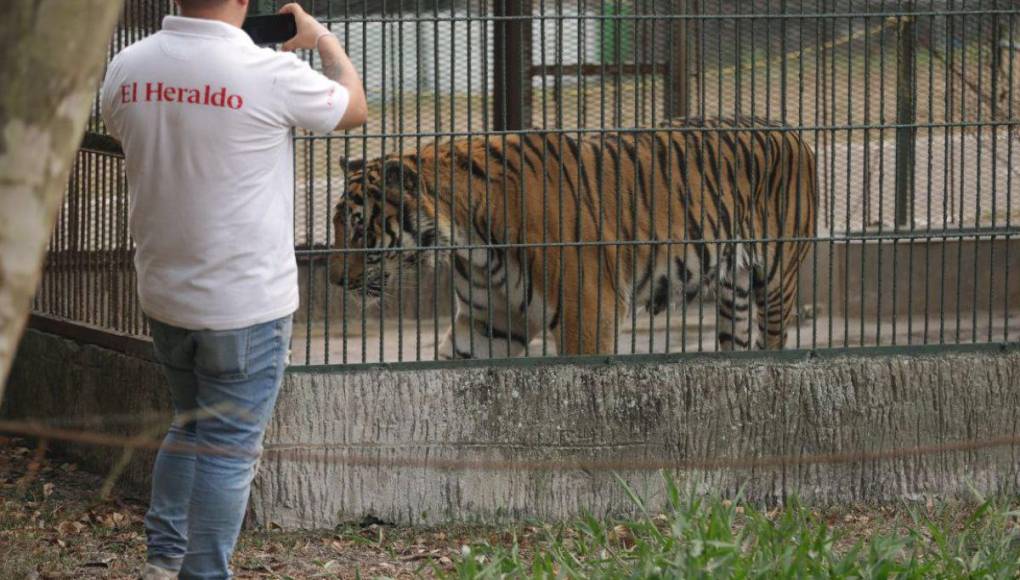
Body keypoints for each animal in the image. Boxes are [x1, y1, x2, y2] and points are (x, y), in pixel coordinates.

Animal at [330, 118, 816, 356]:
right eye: (335, 227)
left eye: (360, 228)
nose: (334, 281)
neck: (467, 239)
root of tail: (791, 132)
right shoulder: (491, 319)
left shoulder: (589, 309)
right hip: (735, 294)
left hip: (776, 278)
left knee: (775, 344)